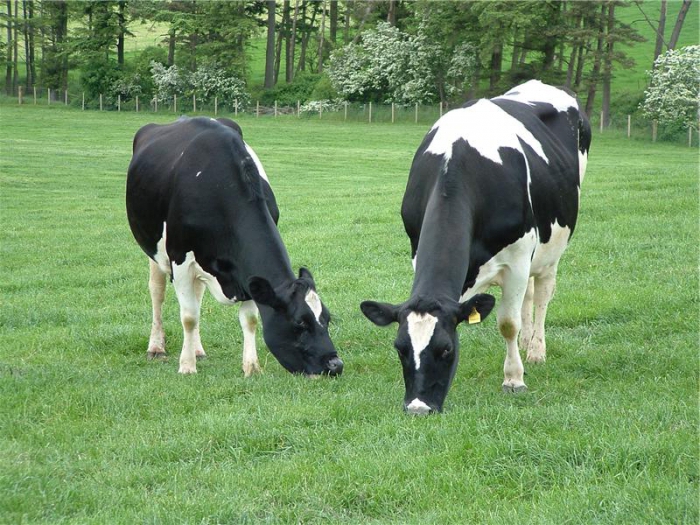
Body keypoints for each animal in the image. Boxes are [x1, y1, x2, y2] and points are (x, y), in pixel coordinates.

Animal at [129, 116, 344, 374]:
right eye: (299, 324)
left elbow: (249, 319)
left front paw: (251, 367)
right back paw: (157, 347)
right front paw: (187, 366)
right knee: (157, 293)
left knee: (197, 295)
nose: (336, 364)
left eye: (327, 319)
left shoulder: (245, 273)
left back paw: (198, 350)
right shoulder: (180, 258)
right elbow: (189, 316)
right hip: (154, 250)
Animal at [360, 80, 592, 412]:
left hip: (552, 246)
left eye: (445, 349)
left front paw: (514, 379)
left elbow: (507, 323)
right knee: (528, 296)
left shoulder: (517, 258)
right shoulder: (417, 251)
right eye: (400, 348)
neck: (457, 166)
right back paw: (527, 343)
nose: (418, 407)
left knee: (542, 294)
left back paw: (536, 350)